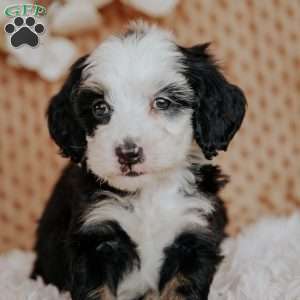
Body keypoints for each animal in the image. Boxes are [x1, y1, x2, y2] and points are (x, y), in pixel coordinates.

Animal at [31, 21, 246, 300]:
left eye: (162, 102)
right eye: (100, 108)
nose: (128, 153)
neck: (148, 193)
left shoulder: (194, 232)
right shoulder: (94, 234)